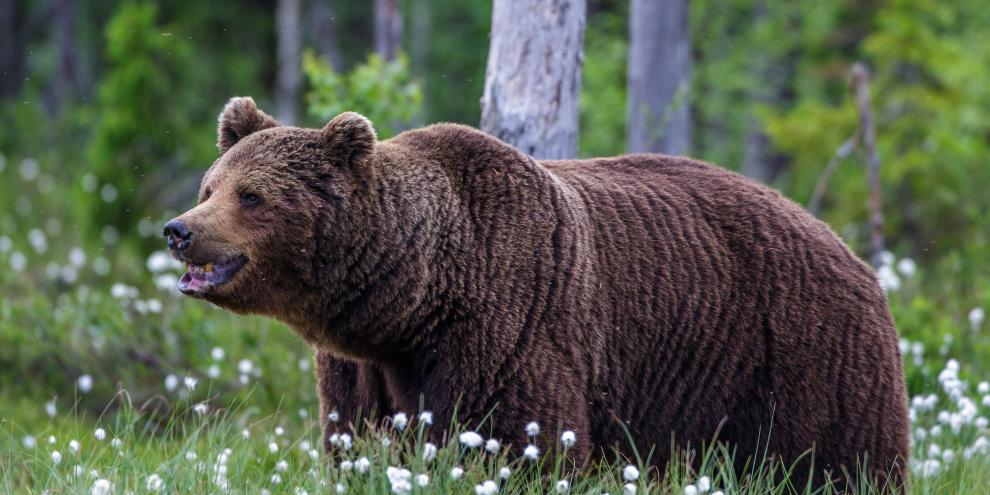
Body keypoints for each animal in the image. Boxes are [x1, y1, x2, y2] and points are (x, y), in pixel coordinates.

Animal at [164, 96, 909, 488]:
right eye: (211, 184)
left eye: (252, 196)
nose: (179, 229)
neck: (415, 299)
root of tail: (850, 251)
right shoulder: (361, 368)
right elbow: (358, 440)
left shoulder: (509, 321)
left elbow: (519, 439)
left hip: (804, 356)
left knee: (846, 463)